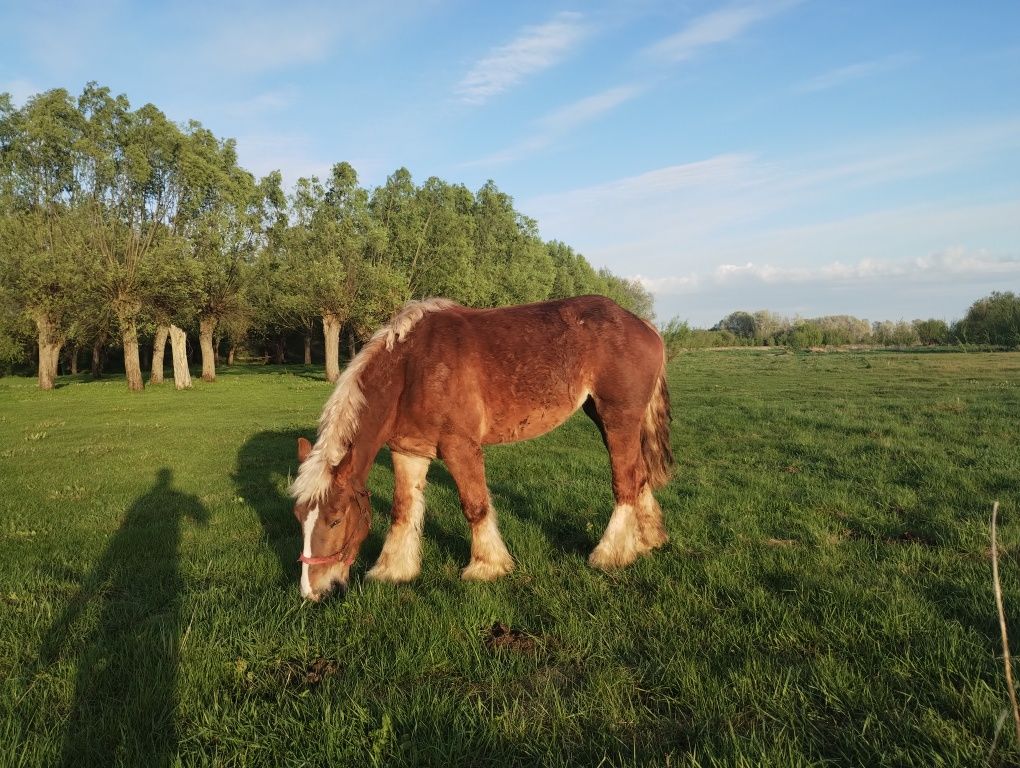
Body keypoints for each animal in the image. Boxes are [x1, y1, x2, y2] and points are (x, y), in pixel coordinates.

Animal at [289, 293, 669, 599]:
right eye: (298, 517)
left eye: (336, 519)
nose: (312, 592)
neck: (412, 368)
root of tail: (644, 325)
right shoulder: (408, 451)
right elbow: (403, 510)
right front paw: (393, 570)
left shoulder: (460, 447)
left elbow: (475, 506)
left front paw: (487, 567)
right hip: (606, 417)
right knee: (639, 476)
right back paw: (647, 540)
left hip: (618, 417)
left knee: (625, 483)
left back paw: (609, 554)